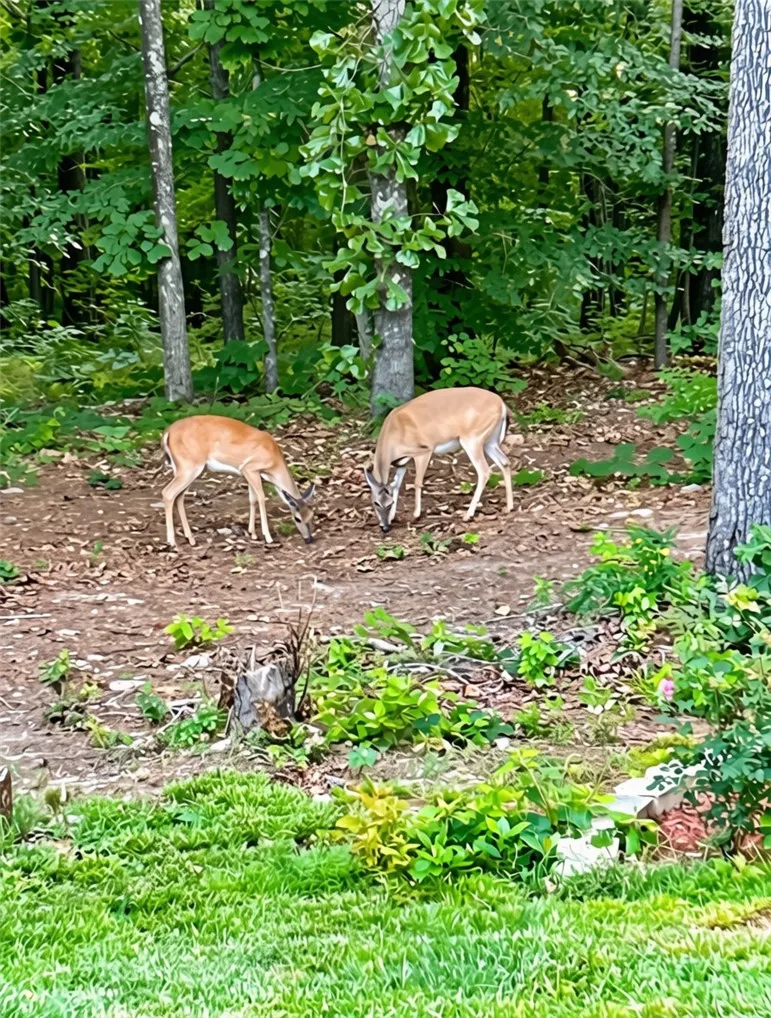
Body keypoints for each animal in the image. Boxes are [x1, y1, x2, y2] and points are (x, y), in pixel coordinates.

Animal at [160, 415, 315, 548]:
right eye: (297, 519)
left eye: (311, 516)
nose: (309, 539)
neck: (274, 464)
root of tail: (167, 432)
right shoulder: (250, 468)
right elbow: (261, 498)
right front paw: (268, 537)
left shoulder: (251, 474)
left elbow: (252, 499)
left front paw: (252, 533)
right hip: (189, 466)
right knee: (168, 493)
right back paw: (172, 541)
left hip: (187, 468)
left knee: (179, 496)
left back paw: (191, 539)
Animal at [364, 387, 514, 533]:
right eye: (375, 503)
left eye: (389, 504)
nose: (385, 528)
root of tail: (502, 405)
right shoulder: (402, 463)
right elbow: (396, 486)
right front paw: (393, 517)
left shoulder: (423, 450)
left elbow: (417, 482)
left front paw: (416, 515)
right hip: (490, 441)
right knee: (505, 462)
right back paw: (509, 507)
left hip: (473, 438)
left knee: (484, 470)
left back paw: (468, 515)